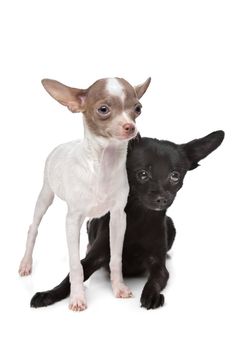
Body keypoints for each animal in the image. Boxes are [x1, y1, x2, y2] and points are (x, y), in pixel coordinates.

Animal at [19, 75, 151, 310]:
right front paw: (77, 297)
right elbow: (75, 265)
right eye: (103, 109)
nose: (130, 127)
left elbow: (115, 258)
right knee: (33, 228)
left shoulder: (118, 217)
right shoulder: (72, 221)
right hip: (45, 195)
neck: (103, 165)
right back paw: (26, 263)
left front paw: (119, 288)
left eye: (138, 108)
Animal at [31, 131, 224, 308]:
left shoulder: (159, 266)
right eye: (143, 174)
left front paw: (151, 295)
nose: (162, 199)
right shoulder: (93, 258)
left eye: (175, 175)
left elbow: (154, 280)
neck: (138, 219)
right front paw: (49, 293)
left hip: (171, 224)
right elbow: (69, 277)